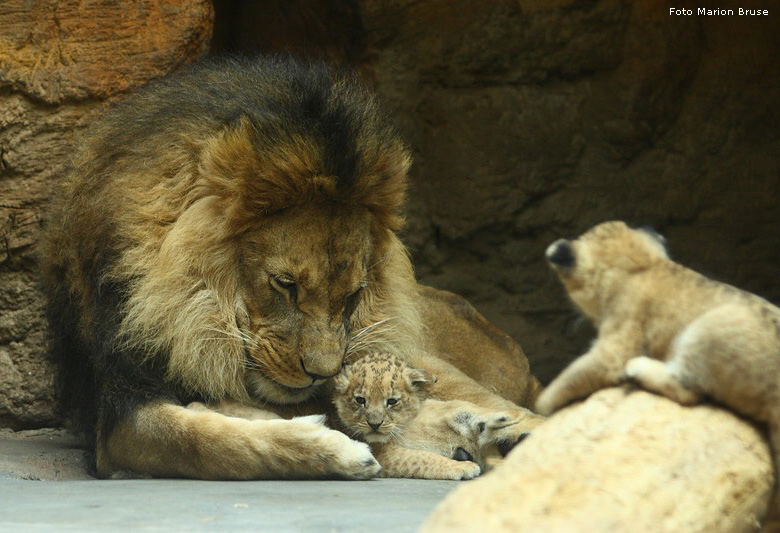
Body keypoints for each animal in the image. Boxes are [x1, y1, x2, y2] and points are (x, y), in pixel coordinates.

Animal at [41, 56, 544, 480]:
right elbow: (204, 440)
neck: (198, 316)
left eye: (353, 295)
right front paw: (335, 447)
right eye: (285, 285)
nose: (322, 373)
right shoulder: (119, 407)